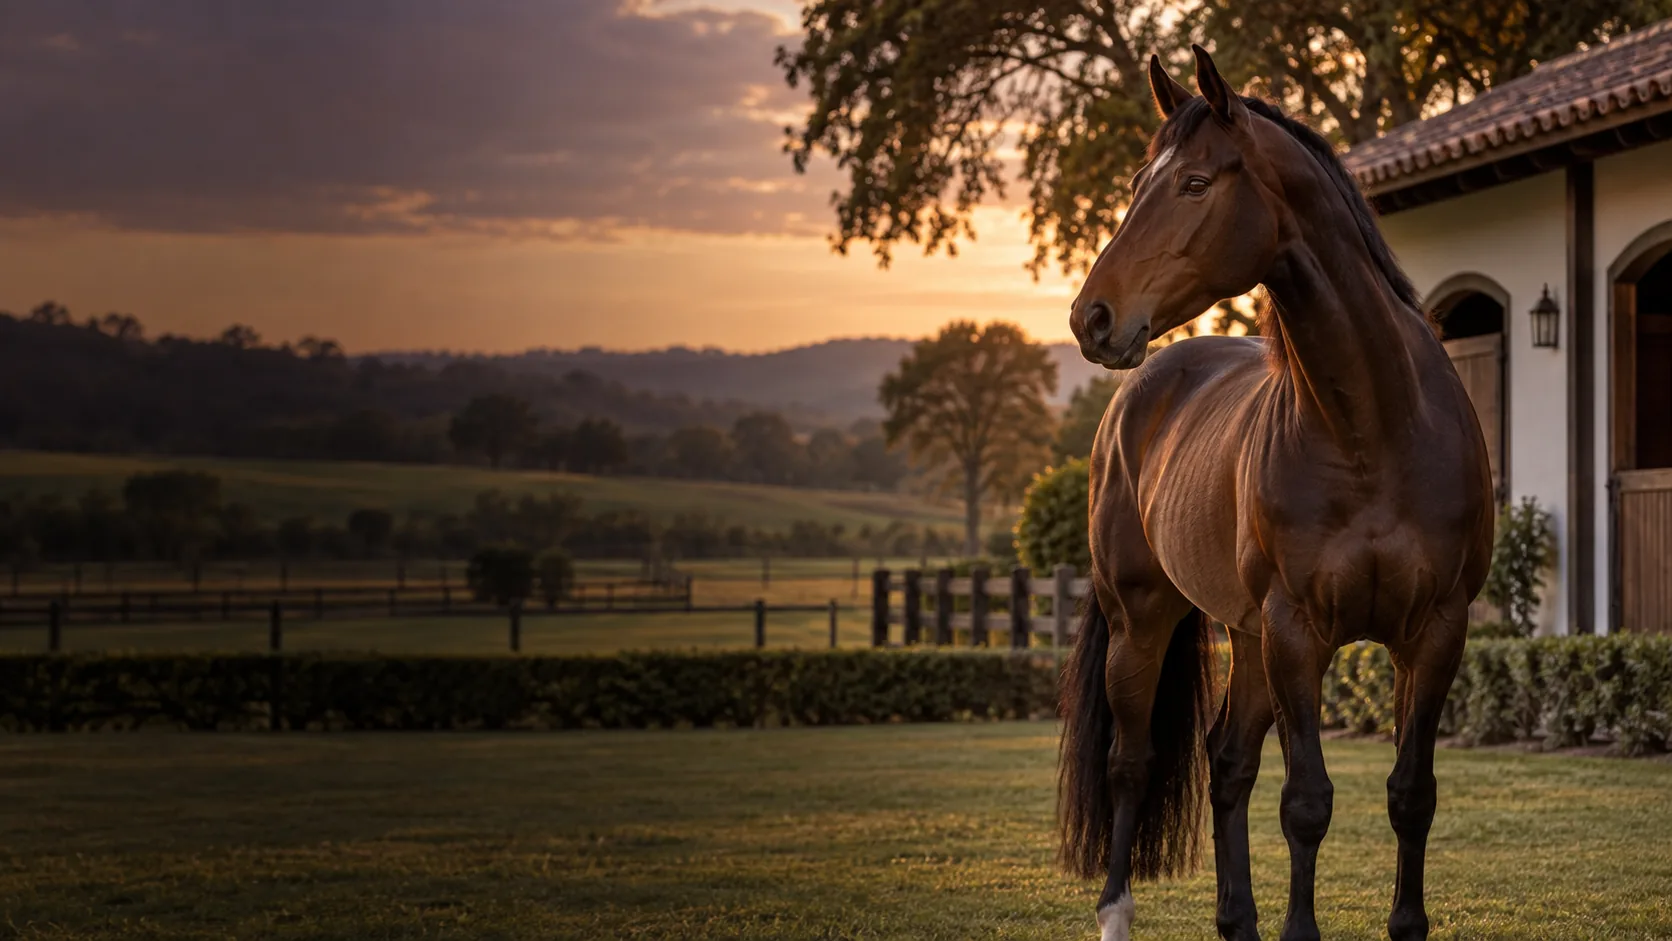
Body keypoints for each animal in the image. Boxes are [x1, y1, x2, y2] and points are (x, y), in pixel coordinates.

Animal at [1056, 47, 1494, 941]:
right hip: (1143, 620)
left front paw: (1403, 922)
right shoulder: (1300, 631)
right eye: (1139, 184)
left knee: (1226, 762)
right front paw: (1300, 929)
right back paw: (1116, 910)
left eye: (1194, 182)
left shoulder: (1435, 631)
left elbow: (1410, 794)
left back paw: (1237, 920)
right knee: (1131, 762)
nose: (1093, 318)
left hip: (1247, 636)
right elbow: (1307, 802)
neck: (1374, 427)